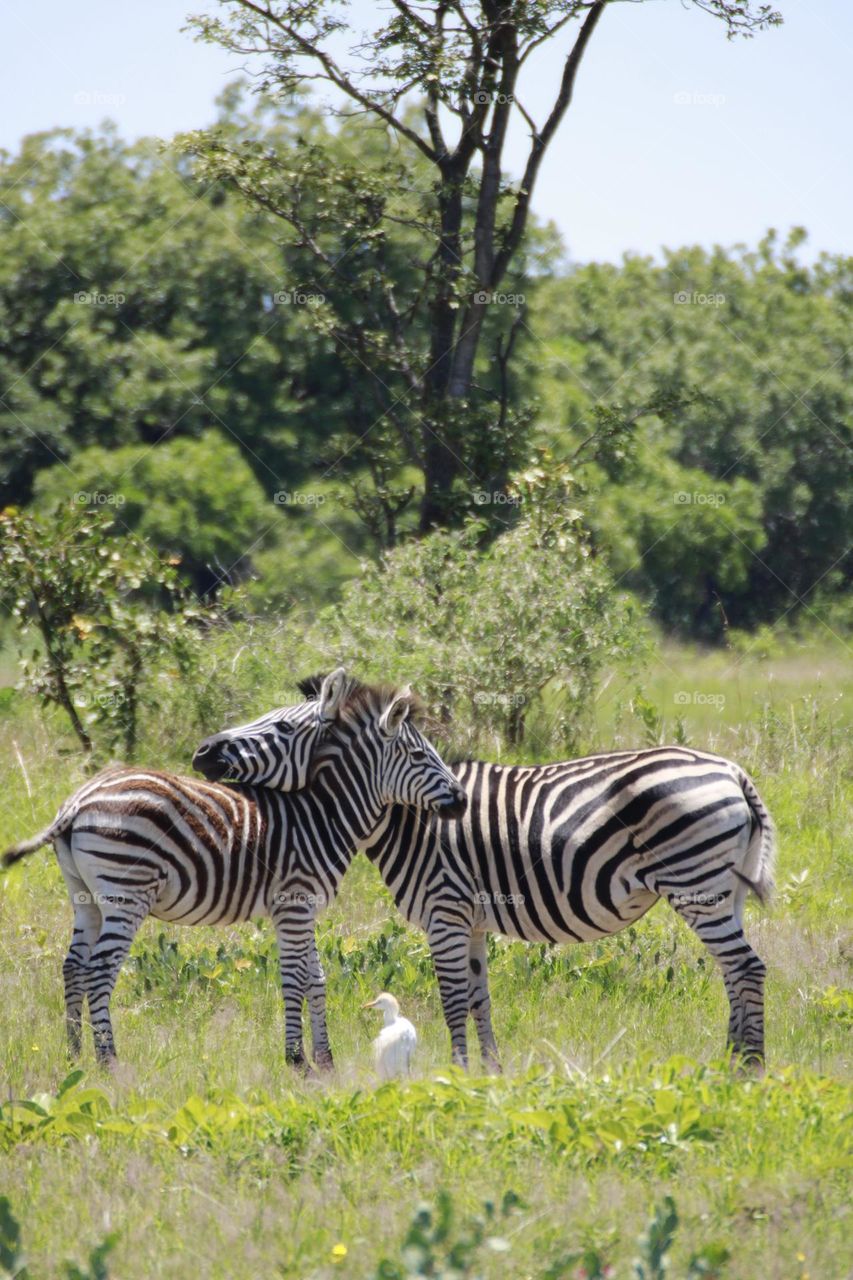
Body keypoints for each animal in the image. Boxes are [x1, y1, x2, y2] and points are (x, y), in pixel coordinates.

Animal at [0, 670, 466, 1070]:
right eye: (420, 754)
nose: (461, 800)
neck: (323, 813)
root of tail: (78, 799)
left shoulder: (305, 907)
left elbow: (316, 978)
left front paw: (326, 1062)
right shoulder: (293, 903)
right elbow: (294, 978)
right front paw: (298, 1062)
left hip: (85, 897)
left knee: (74, 966)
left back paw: (75, 1056)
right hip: (125, 894)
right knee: (98, 972)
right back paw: (109, 1063)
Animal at [208, 680, 773, 1070]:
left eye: (281, 728)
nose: (202, 751)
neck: (413, 814)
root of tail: (733, 771)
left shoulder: (444, 910)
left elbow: (453, 997)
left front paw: (458, 1072)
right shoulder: (472, 919)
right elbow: (480, 997)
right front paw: (490, 1071)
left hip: (695, 881)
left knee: (746, 968)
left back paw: (748, 1069)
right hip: (724, 890)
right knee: (733, 970)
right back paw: (729, 1060)